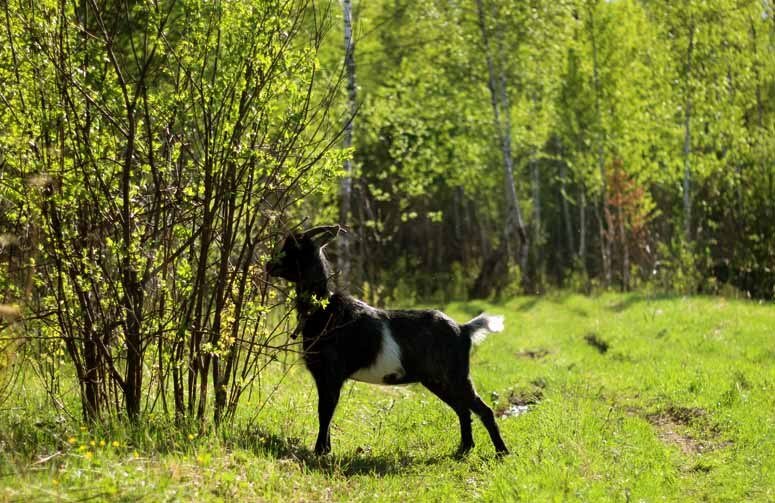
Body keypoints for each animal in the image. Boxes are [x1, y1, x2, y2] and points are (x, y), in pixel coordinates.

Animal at [266, 226, 510, 458]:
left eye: (295, 247)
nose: (269, 265)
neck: (324, 311)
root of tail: (463, 329)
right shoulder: (324, 377)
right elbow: (326, 410)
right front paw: (324, 449)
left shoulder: (331, 373)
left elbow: (325, 411)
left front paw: (319, 451)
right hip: (436, 380)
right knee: (463, 409)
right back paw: (464, 449)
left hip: (456, 376)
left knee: (483, 410)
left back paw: (501, 452)